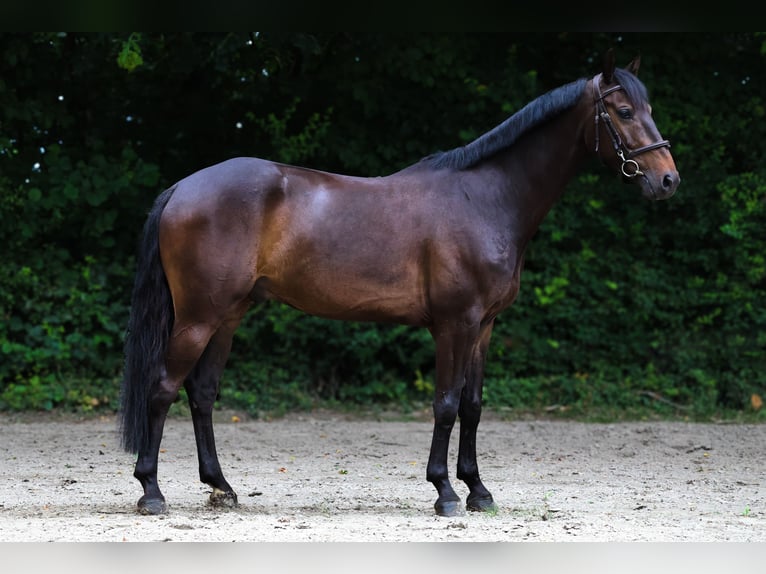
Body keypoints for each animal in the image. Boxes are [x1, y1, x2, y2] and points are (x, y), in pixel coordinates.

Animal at [119, 50, 679, 517]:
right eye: (623, 111)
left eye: (649, 107)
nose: (668, 180)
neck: (486, 198)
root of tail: (183, 187)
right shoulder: (455, 324)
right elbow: (446, 405)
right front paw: (446, 492)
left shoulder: (484, 327)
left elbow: (473, 407)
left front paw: (479, 491)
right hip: (199, 316)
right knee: (162, 388)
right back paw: (151, 491)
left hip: (228, 314)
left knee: (202, 392)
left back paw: (221, 487)